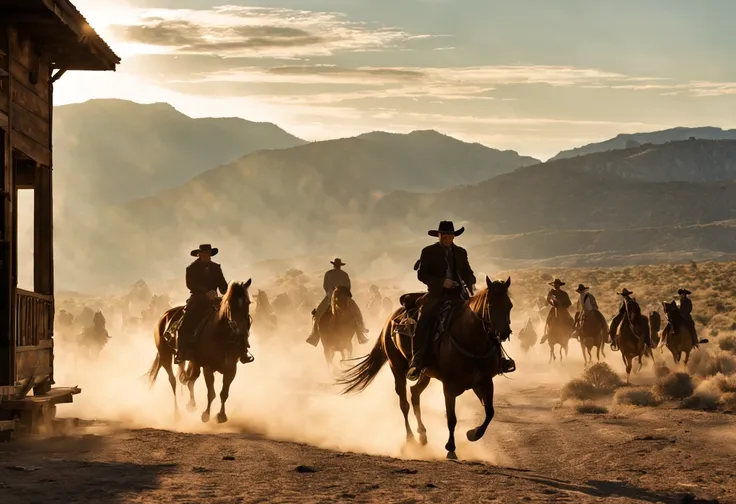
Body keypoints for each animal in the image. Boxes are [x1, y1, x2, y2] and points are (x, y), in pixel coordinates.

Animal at [147, 280, 253, 422]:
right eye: (231, 304)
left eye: (248, 303)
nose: (241, 334)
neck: (221, 335)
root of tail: (163, 317)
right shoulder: (208, 367)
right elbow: (211, 393)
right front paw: (206, 415)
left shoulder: (231, 368)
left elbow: (224, 393)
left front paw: (221, 416)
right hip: (165, 356)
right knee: (173, 380)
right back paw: (177, 413)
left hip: (191, 361)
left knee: (189, 380)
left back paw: (191, 405)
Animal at [338, 276, 512, 460]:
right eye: (491, 306)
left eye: (509, 305)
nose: (504, 333)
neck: (470, 341)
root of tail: (389, 321)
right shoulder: (449, 386)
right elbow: (451, 418)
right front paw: (450, 448)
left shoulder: (484, 381)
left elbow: (490, 412)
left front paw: (473, 433)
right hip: (396, 368)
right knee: (404, 403)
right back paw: (411, 439)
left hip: (424, 373)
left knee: (415, 393)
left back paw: (422, 434)